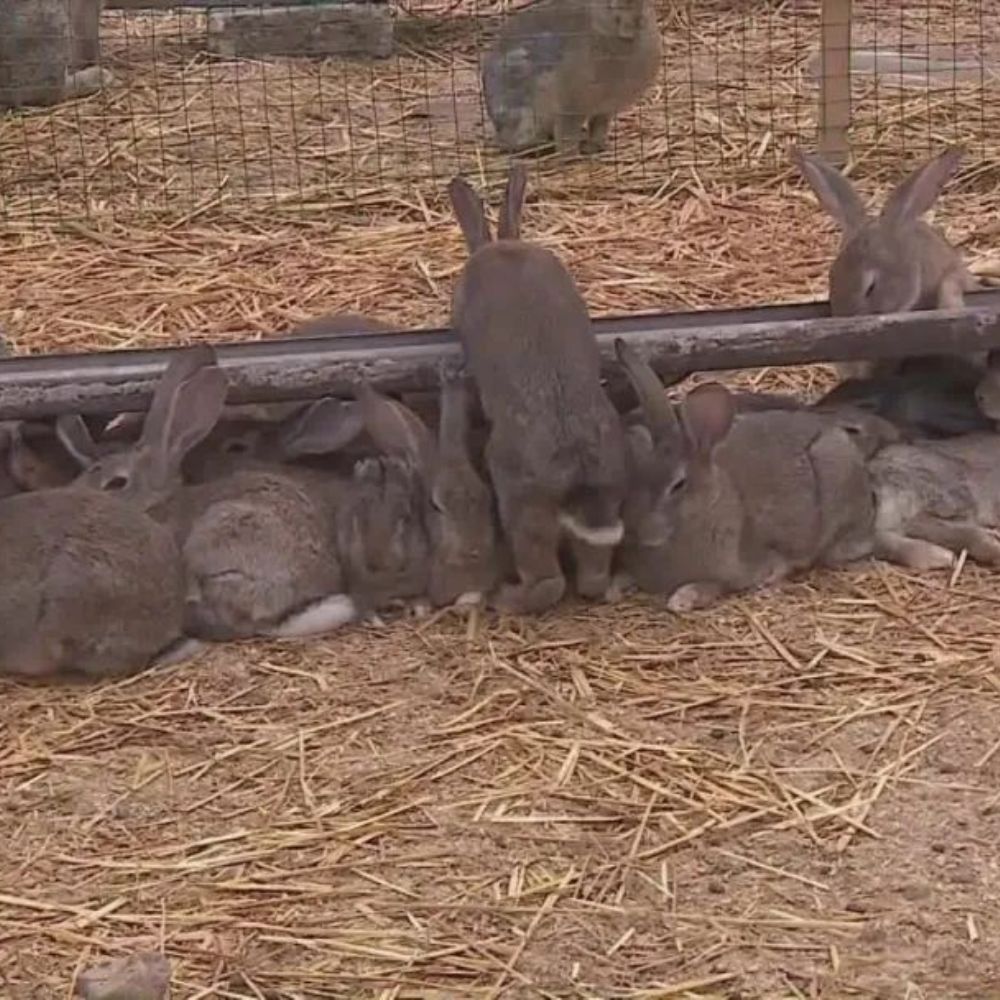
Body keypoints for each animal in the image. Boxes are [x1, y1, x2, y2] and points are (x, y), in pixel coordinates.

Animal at [484, 0, 664, 156]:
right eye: (609, 4)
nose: (636, 18)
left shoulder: (604, 110)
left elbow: (598, 127)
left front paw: (594, 147)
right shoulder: (570, 108)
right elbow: (567, 136)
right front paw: (571, 156)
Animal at [612, 340, 880, 612]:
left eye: (678, 485)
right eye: (637, 474)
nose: (636, 530)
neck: (707, 506)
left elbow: (717, 585)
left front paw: (683, 598)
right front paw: (615, 586)